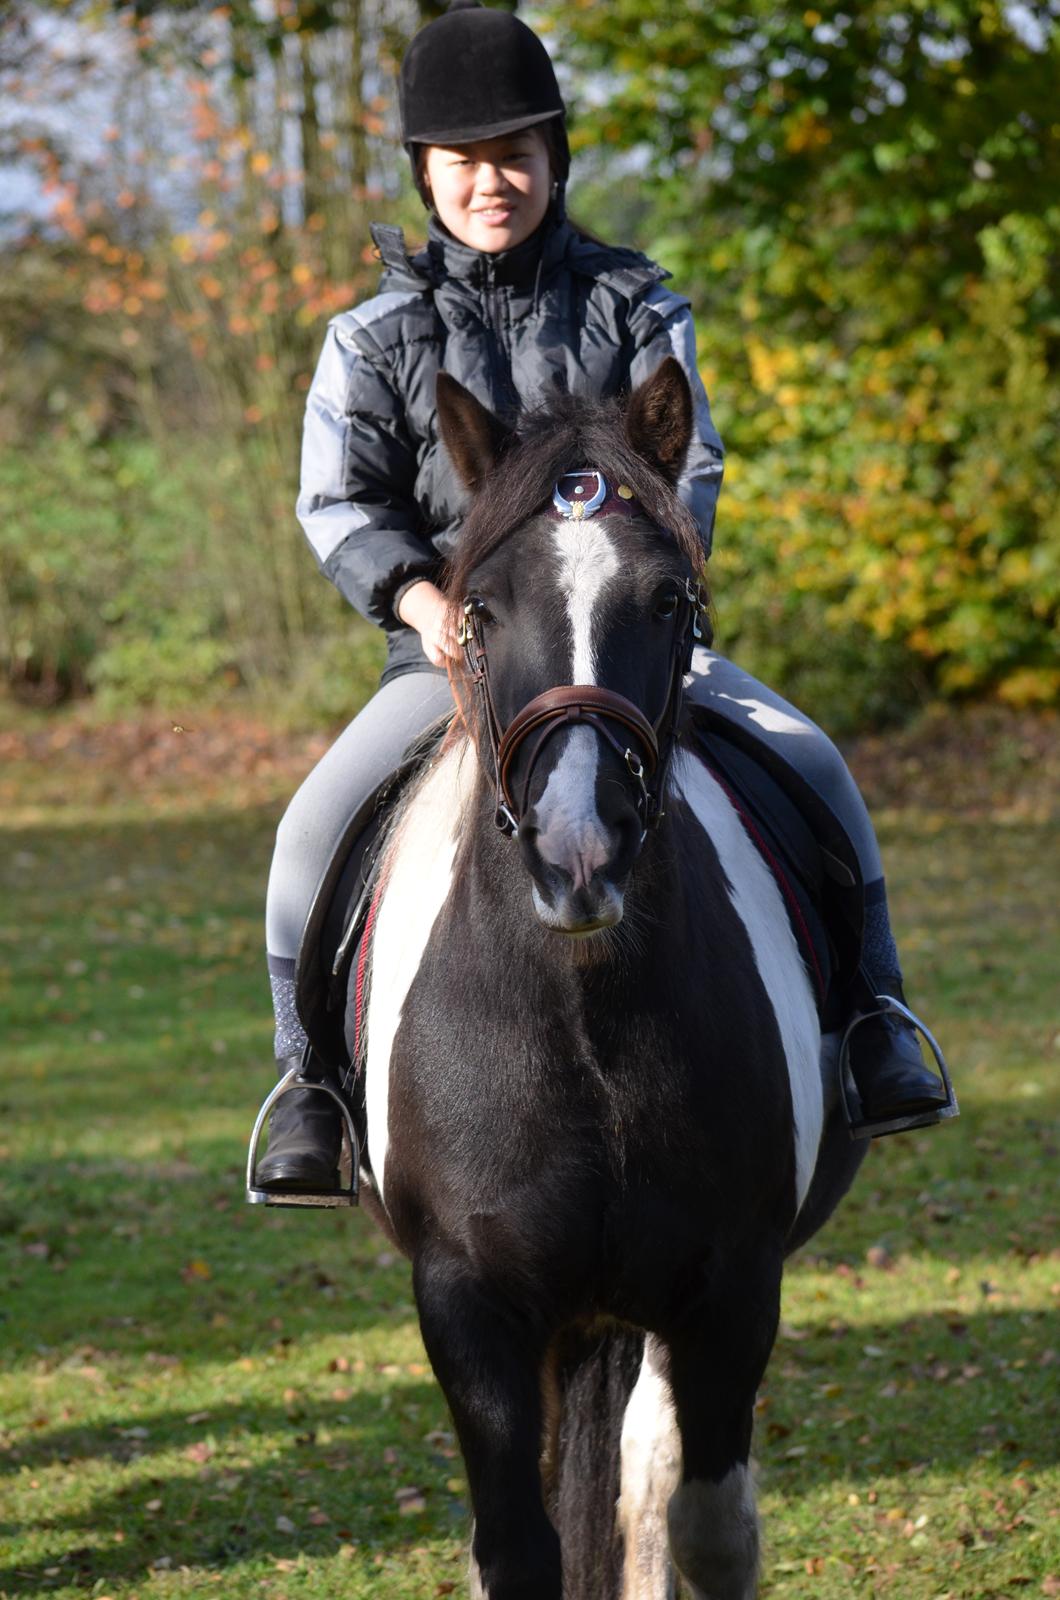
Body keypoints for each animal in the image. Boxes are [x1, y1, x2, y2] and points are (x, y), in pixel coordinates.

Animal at [352, 360, 871, 1600]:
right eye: (479, 611)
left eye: (672, 602)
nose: (577, 851)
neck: (581, 1018)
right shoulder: (470, 1305)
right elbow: (515, 1546)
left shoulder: (731, 1291)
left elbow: (706, 1528)